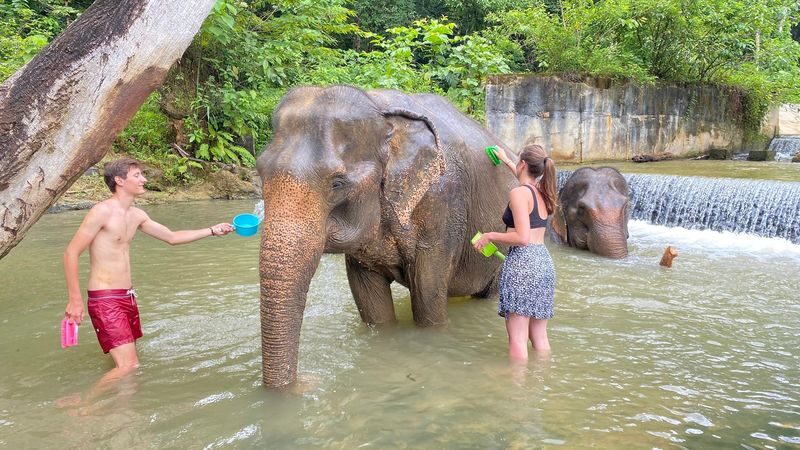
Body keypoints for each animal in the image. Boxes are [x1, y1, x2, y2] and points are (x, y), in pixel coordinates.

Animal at [256, 85, 517, 388]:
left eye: (337, 183)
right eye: (259, 172)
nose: (308, 382)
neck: (379, 108)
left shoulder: (443, 204)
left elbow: (428, 294)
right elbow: (370, 300)